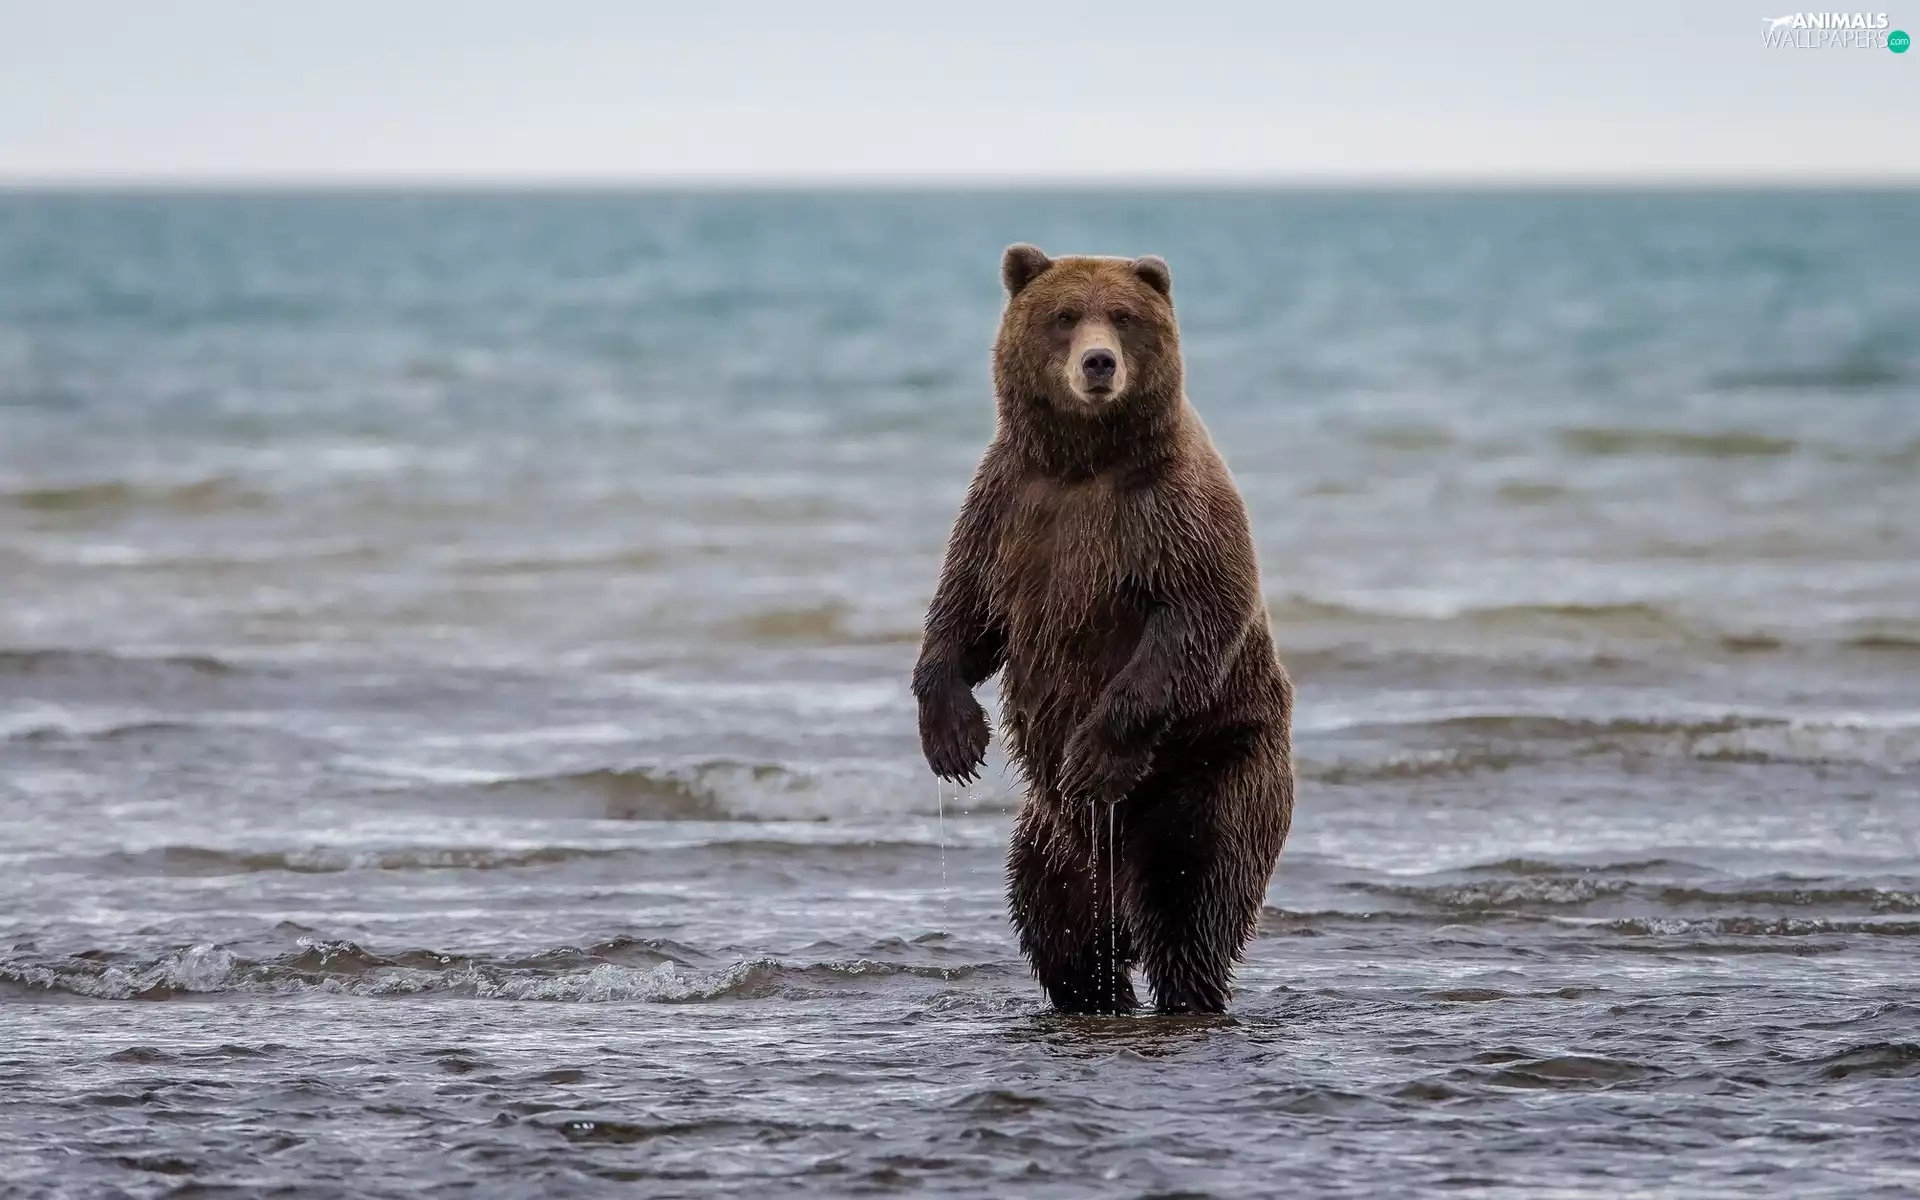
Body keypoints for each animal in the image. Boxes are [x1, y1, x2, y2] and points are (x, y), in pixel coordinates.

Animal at [912, 243, 1294, 1015]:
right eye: (1064, 316)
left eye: (1122, 316)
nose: (1098, 363)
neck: (1083, 463)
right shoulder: (1009, 506)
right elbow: (965, 612)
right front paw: (954, 737)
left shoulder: (1170, 515)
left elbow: (1195, 617)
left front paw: (1092, 754)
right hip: (1052, 837)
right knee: (1057, 921)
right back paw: (1096, 990)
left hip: (1215, 769)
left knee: (1194, 900)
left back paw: (1188, 988)